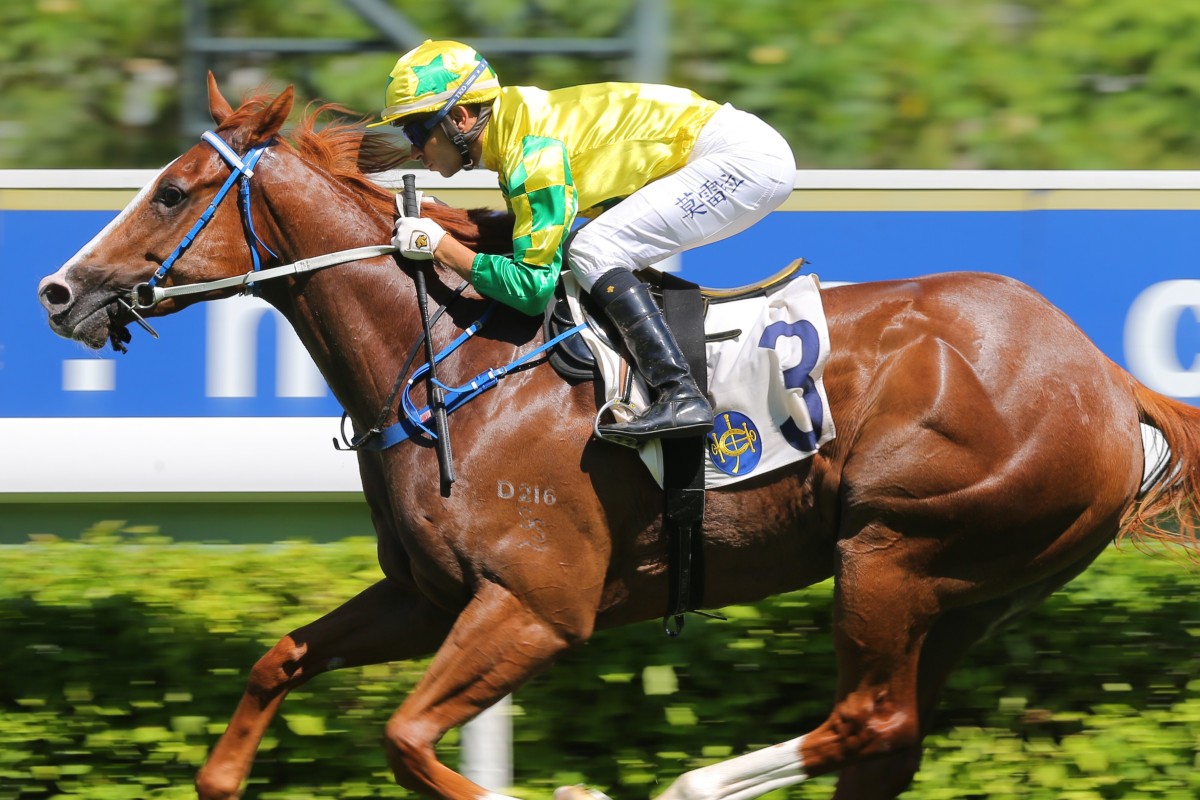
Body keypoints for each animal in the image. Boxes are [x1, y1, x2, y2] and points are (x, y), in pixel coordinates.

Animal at [35, 76, 1200, 800]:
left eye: (173, 192)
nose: (58, 291)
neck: (452, 364)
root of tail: (1105, 376)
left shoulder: (537, 606)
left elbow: (408, 738)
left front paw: (575, 784)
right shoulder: (431, 596)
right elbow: (278, 658)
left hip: (896, 551)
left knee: (868, 719)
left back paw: (692, 782)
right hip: (974, 590)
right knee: (890, 733)